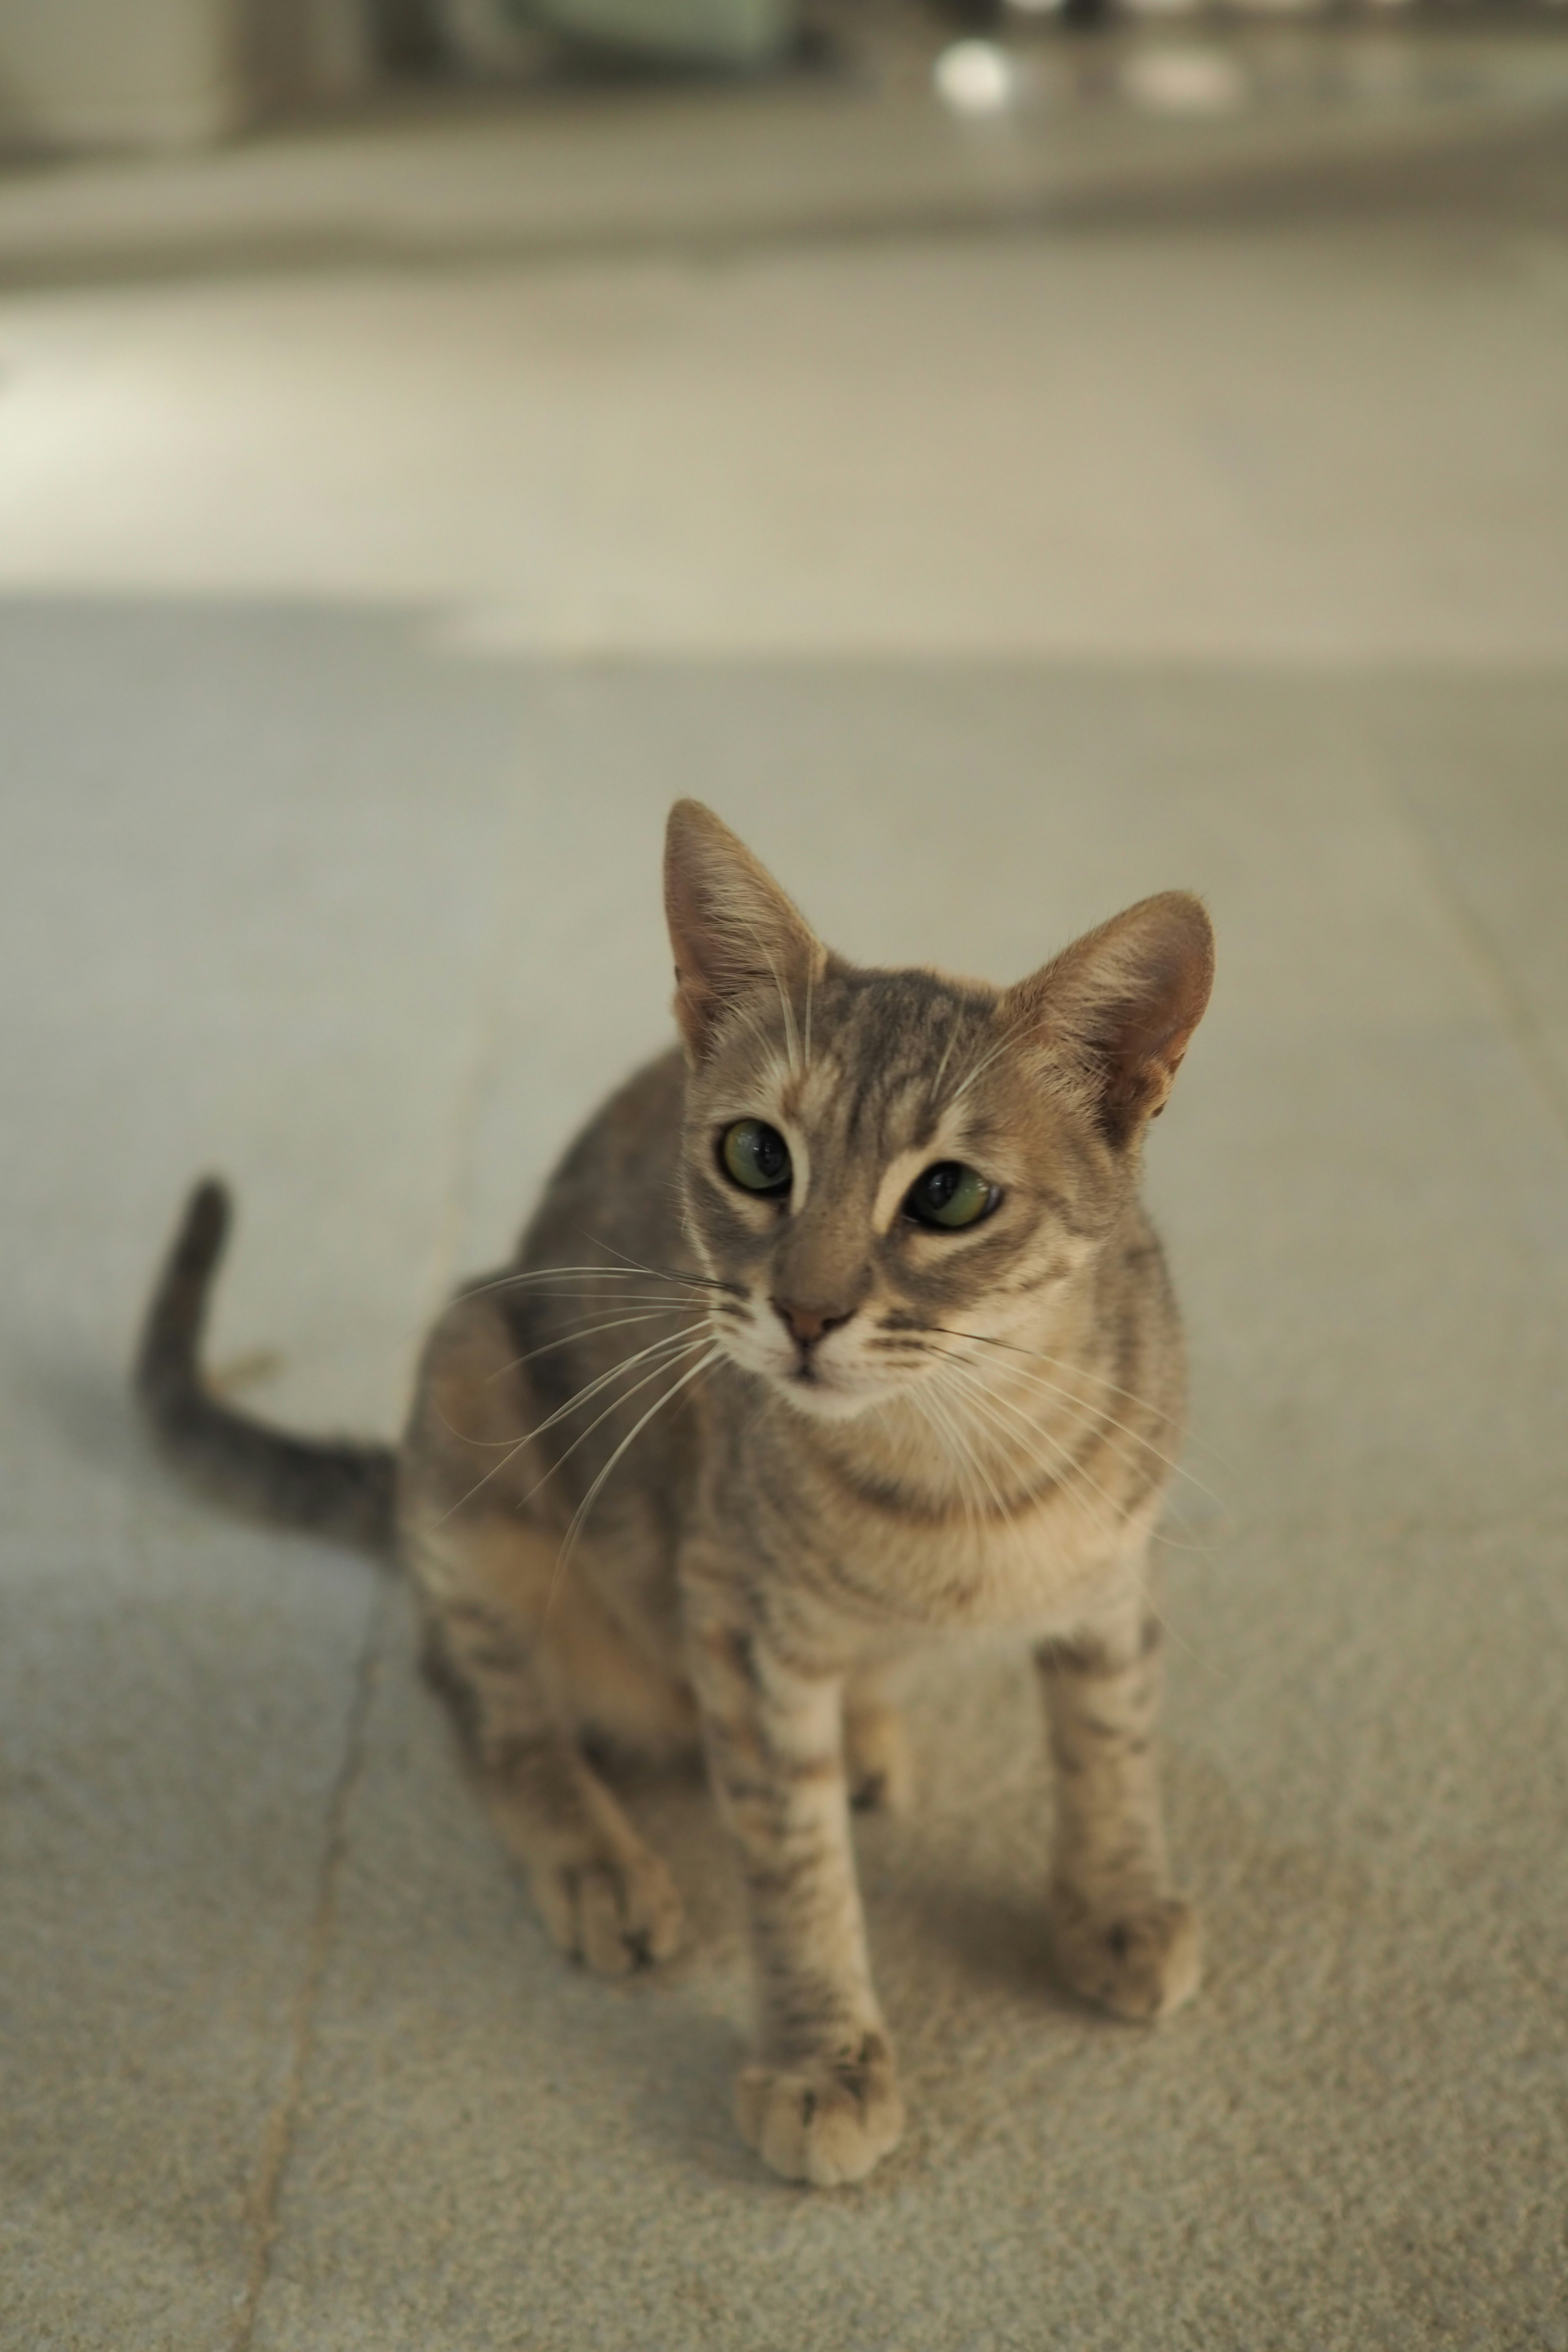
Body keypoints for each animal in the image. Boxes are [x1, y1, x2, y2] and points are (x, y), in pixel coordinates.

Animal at [138, 804, 1213, 2183]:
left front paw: (1116, 1903)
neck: (955, 1465)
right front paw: (822, 2059)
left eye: (950, 1194)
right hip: (469, 1386)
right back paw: (595, 1855)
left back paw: (867, 1734)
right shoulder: (738, 1623)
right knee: (484, 1704)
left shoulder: (1114, 1581)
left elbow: (1110, 1748)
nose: (805, 1312)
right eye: (757, 1156)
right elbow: (796, 1866)